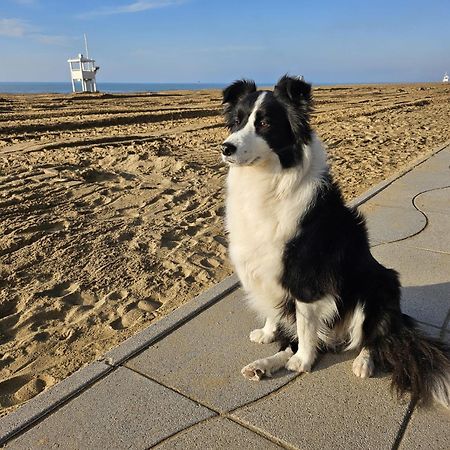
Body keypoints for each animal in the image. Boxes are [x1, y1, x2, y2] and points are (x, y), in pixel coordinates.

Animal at [221, 74, 450, 408]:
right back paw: (262, 365)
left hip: (379, 286)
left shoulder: (305, 276)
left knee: (374, 337)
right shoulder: (267, 268)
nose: (226, 147)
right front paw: (267, 333)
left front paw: (304, 361)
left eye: (264, 123)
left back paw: (362, 362)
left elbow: (305, 324)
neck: (269, 178)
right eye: (237, 122)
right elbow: (275, 312)